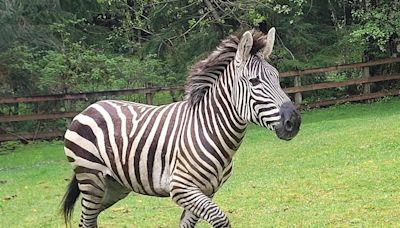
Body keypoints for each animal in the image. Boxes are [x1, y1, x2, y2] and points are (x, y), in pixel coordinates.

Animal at [61, 27, 300, 227]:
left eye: (277, 78)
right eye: (254, 82)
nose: (294, 122)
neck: (210, 130)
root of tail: (89, 108)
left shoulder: (206, 191)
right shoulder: (181, 188)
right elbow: (221, 219)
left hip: (114, 186)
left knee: (89, 219)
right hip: (91, 179)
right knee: (86, 220)